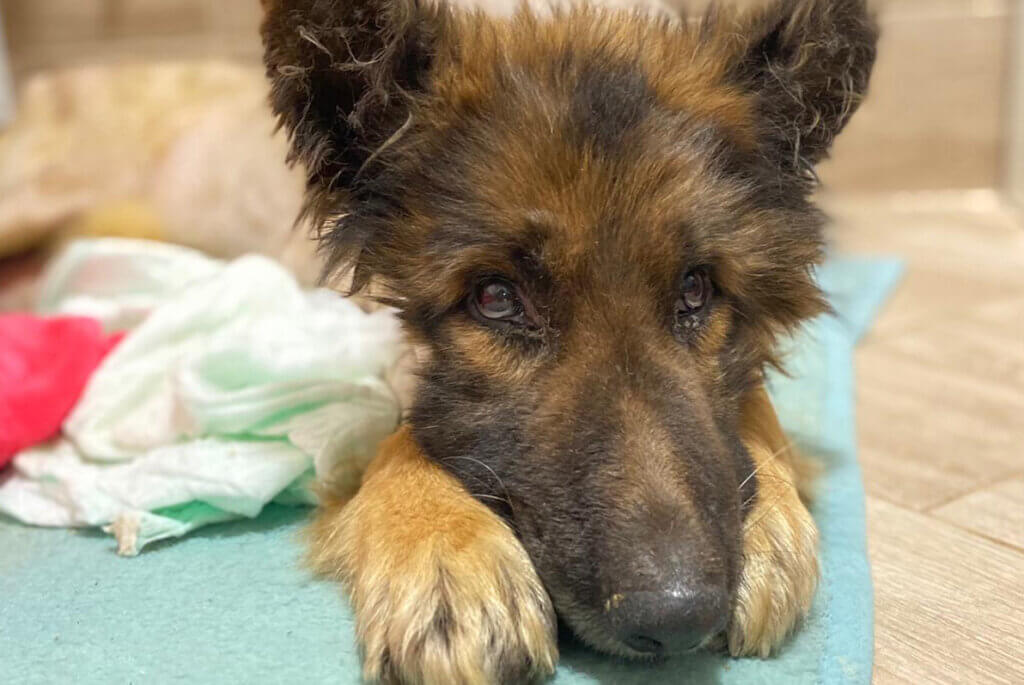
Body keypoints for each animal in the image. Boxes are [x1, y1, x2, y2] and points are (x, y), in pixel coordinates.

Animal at [260, 1, 876, 679]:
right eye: (496, 298)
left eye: (695, 289)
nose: (676, 615)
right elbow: (402, 438)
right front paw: (444, 550)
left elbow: (756, 408)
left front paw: (772, 526)